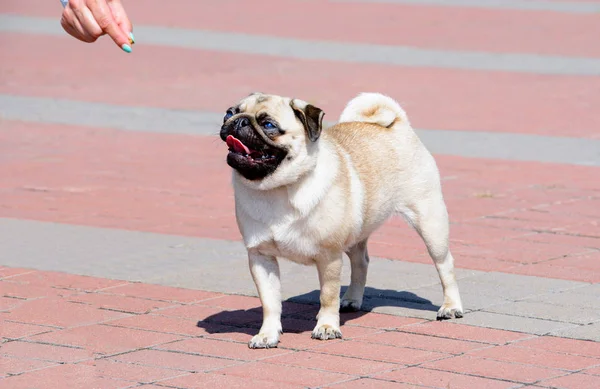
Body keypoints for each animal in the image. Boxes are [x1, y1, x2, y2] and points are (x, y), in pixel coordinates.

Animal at [220, 91, 464, 348]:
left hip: (430, 221)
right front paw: (267, 334)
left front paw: (327, 326)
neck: (279, 189)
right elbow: (270, 302)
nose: (238, 121)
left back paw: (451, 307)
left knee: (445, 264)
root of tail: (398, 124)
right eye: (229, 113)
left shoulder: (329, 257)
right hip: (358, 233)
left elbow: (328, 296)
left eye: (268, 125)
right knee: (361, 262)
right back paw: (351, 299)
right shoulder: (261, 257)